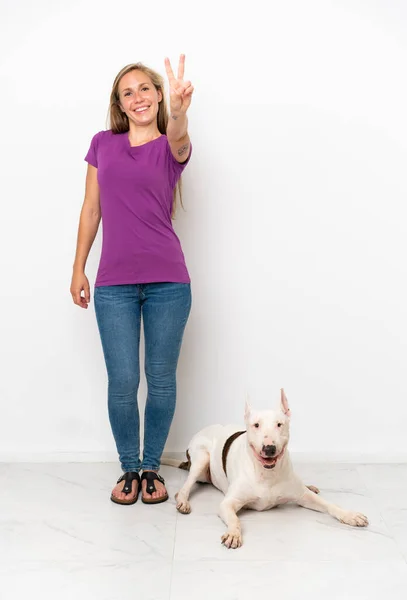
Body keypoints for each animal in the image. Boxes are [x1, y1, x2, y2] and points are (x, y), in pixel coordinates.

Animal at [163, 390, 370, 548]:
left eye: (279, 424)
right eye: (256, 425)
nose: (269, 448)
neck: (267, 473)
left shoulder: (303, 497)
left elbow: (329, 505)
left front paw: (350, 515)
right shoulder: (228, 503)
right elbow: (235, 519)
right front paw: (233, 534)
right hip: (201, 458)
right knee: (185, 487)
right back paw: (183, 501)